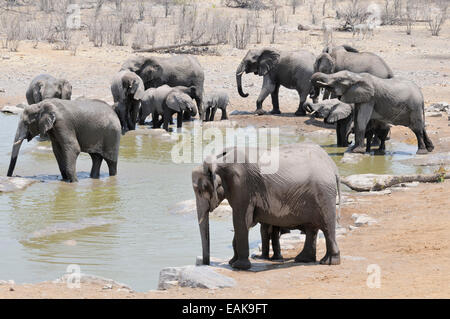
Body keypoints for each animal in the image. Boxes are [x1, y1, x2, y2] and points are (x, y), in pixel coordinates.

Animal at [191, 144, 342, 272]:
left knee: (327, 226)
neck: (218, 162)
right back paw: (303, 259)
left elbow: (242, 220)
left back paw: (328, 262)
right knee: (312, 228)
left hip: (324, 194)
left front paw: (238, 266)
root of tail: (333, 168)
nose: (206, 264)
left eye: (200, 190)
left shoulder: (242, 186)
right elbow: (242, 223)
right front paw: (231, 262)